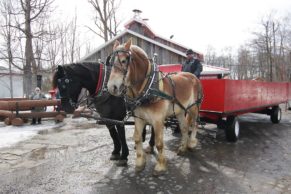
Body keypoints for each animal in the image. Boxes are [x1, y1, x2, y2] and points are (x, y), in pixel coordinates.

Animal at [107, 38, 203, 175]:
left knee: (195, 124)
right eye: (110, 62)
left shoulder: (158, 120)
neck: (147, 87)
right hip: (180, 111)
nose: (112, 87)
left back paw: (192, 143)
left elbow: (159, 143)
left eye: (124, 60)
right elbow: (137, 138)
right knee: (184, 128)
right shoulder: (139, 118)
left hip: (193, 108)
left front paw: (160, 166)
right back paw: (182, 148)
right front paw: (140, 163)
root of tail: (193, 76)